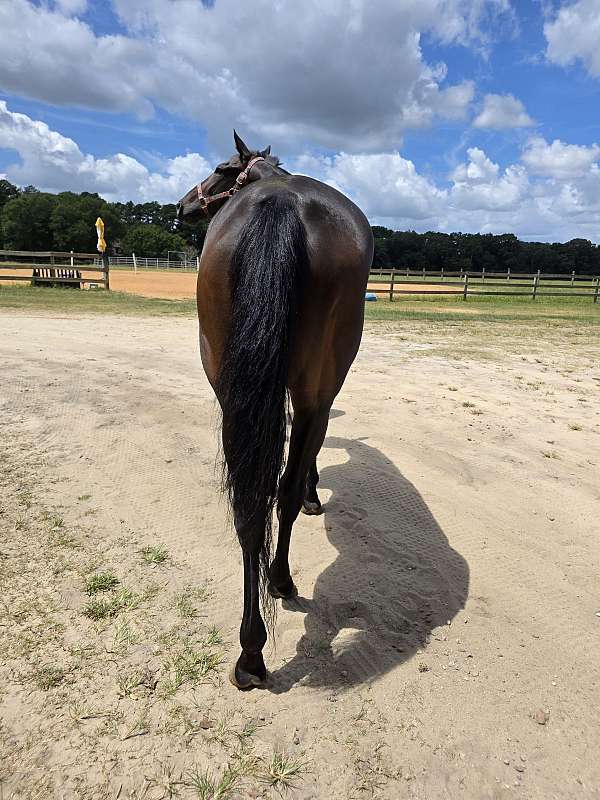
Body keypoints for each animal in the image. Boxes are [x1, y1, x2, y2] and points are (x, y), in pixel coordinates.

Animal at [176, 131, 373, 690]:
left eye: (223, 168)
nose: (182, 205)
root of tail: (283, 203)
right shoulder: (310, 399)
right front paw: (312, 494)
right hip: (306, 394)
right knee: (271, 496)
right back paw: (271, 600)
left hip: (239, 395)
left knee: (255, 501)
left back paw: (253, 646)